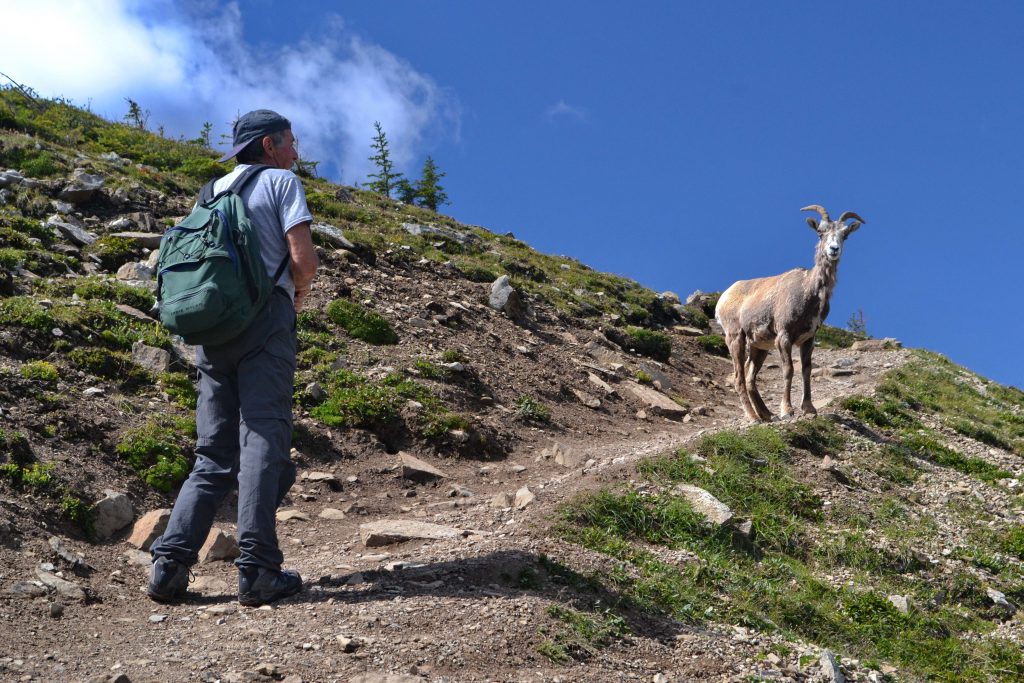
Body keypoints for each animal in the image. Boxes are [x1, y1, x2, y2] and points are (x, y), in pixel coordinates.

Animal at [716, 204, 868, 421]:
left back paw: (766, 414)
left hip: (758, 347)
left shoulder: (808, 339)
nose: (834, 250)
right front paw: (787, 410)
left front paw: (809, 408)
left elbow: (806, 370)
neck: (808, 290)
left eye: (844, 235)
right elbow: (788, 370)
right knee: (739, 378)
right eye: (820, 232)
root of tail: (724, 298)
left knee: (750, 376)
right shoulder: (784, 336)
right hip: (736, 338)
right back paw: (753, 417)